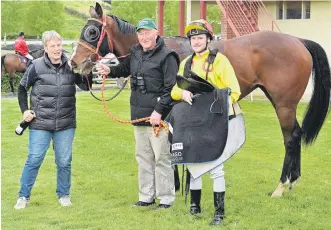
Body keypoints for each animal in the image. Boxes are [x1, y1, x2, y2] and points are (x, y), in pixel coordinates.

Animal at [70, 2, 331, 198]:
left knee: (290, 138)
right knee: (295, 134)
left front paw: (174, 186)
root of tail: (298, 41)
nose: (74, 63)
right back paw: (292, 182)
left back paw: (281, 185)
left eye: (92, 32)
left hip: (284, 103)